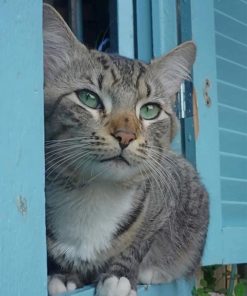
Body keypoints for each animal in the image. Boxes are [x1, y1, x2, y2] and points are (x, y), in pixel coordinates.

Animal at [44, 4, 208, 296]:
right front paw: (64, 275)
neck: (95, 192)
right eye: (88, 98)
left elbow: (140, 241)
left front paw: (118, 276)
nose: (126, 136)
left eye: (150, 110)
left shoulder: (167, 202)